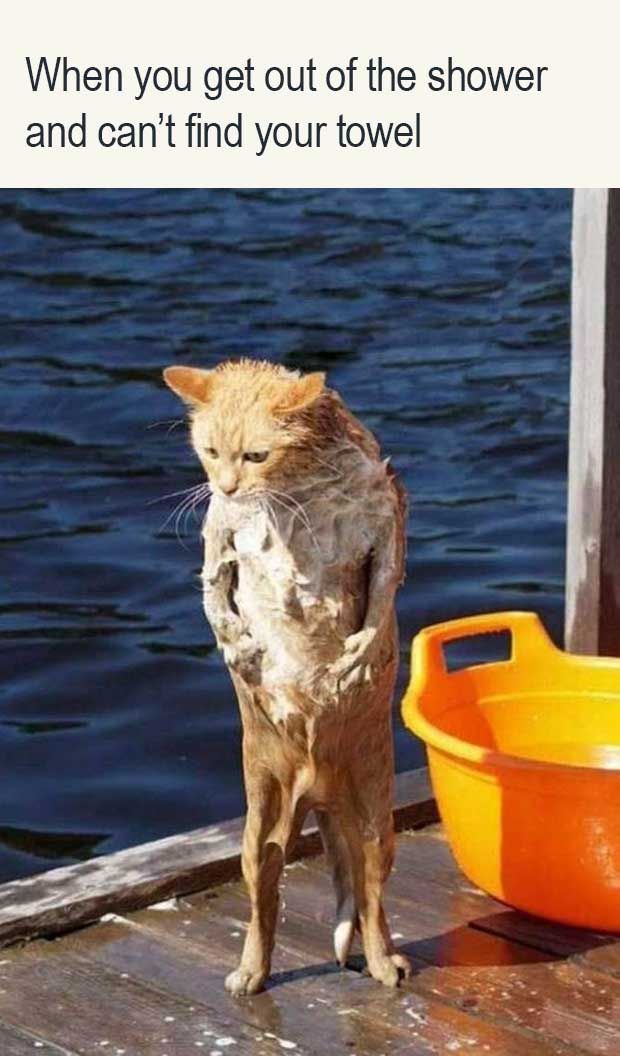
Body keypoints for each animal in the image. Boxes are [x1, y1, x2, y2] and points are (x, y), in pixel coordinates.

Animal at [163, 359, 411, 992]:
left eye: (256, 456)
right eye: (209, 452)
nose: (226, 486)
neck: (296, 491)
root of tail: (319, 796)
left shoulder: (386, 514)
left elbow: (383, 592)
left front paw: (361, 653)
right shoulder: (219, 530)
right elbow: (212, 587)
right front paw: (235, 641)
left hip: (375, 826)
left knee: (373, 904)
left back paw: (383, 962)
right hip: (261, 831)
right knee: (263, 906)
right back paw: (250, 972)